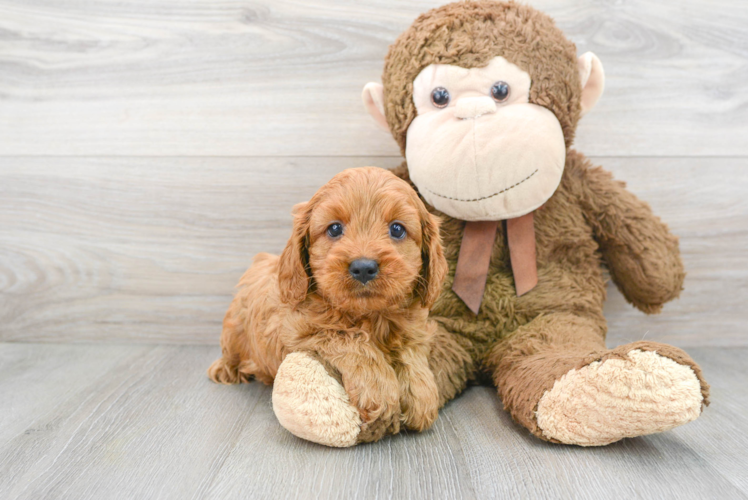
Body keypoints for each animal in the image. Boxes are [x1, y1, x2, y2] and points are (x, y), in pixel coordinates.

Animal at [207, 167, 448, 442]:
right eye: (334, 229)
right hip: (234, 328)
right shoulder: (298, 328)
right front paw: (380, 391)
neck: (370, 316)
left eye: (397, 229)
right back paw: (226, 368)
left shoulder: (415, 328)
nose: (363, 267)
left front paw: (422, 396)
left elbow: (411, 352)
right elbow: (351, 340)